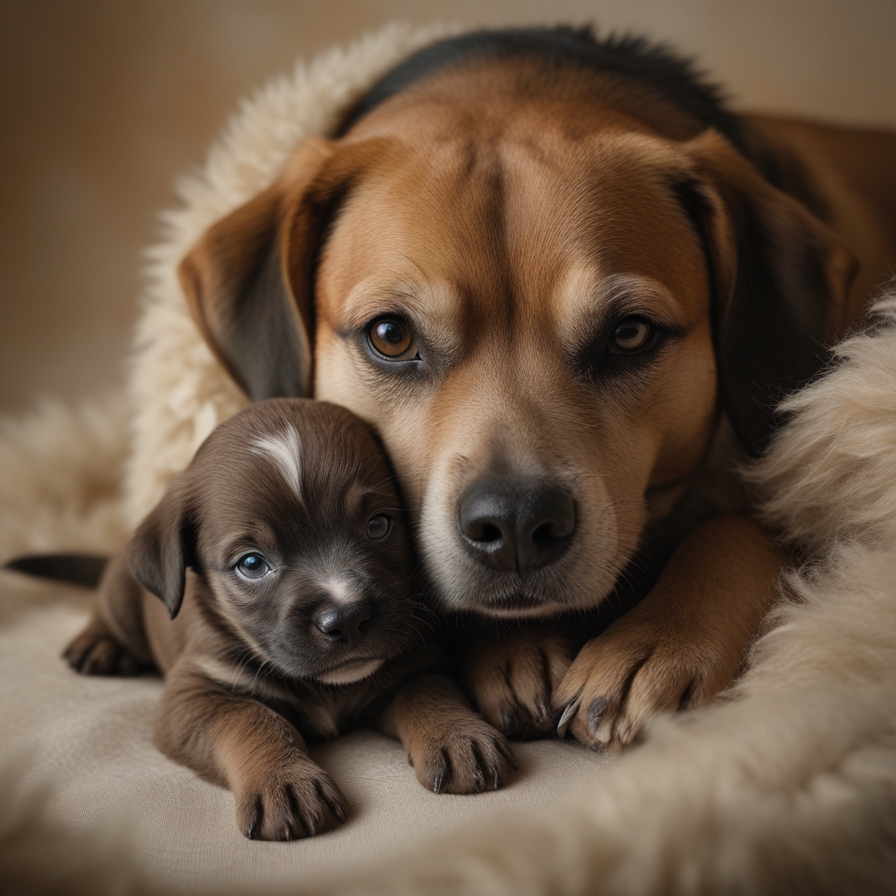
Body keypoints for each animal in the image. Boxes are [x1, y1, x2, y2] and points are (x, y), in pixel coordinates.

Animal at [59, 400, 516, 840]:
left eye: (378, 525)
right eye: (251, 564)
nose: (347, 619)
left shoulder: (412, 663)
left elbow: (430, 692)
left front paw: (457, 736)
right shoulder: (194, 693)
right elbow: (252, 719)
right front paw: (284, 782)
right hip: (122, 590)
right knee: (108, 610)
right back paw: (98, 644)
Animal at [173, 28, 896, 752]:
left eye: (630, 334)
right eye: (391, 336)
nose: (517, 524)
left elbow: (741, 528)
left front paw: (659, 641)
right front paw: (513, 646)